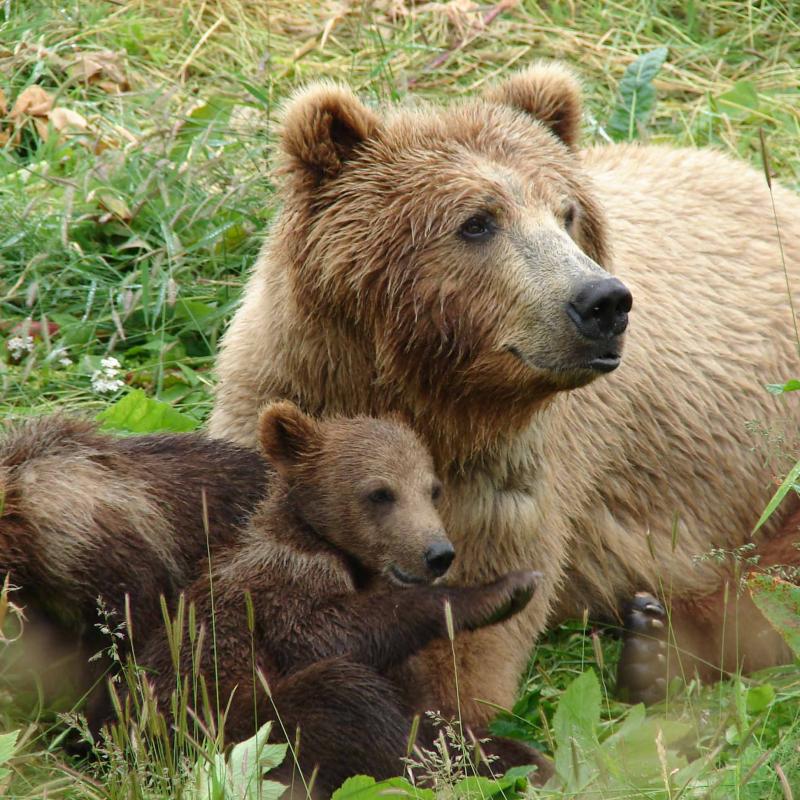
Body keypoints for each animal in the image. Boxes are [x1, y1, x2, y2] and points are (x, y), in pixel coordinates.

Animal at [208, 65, 800, 720]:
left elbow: (470, 638)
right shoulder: (283, 402)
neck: (428, 397)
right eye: (477, 221)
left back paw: (658, 648)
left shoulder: (508, 479)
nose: (603, 301)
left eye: (567, 213)